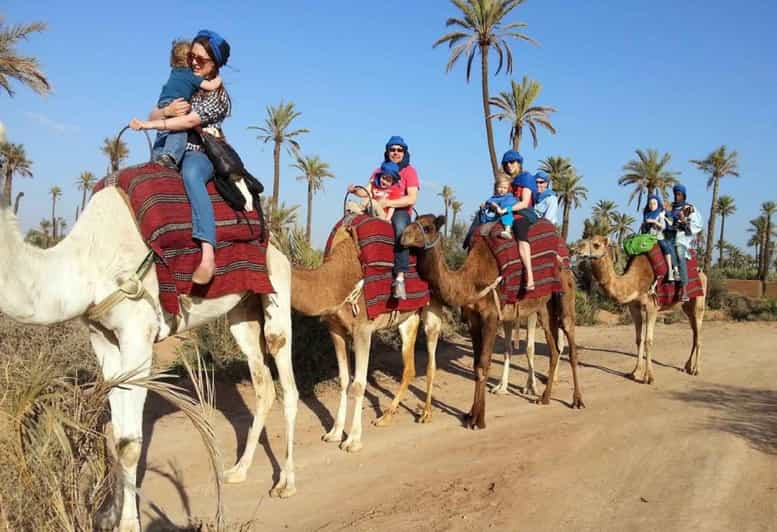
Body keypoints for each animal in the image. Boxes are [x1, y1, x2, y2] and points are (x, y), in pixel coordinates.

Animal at [0, 188, 298, 532]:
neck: (85, 264)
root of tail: (278, 245)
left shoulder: (137, 333)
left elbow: (129, 443)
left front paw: (129, 523)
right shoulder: (102, 337)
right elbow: (116, 433)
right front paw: (107, 514)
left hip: (277, 289)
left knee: (286, 376)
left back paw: (286, 483)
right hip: (241, 311)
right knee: (263, 384)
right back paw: (238, 471)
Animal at [290, 227, 440, 450]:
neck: (333, 280)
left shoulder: (363, 330)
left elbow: (359, 384)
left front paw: (352, 440)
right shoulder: (335, 329)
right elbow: (344, 380)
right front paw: (334, 433)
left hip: (432, 310)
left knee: (431, 360)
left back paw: (426, 414)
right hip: (408, 318)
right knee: (409, 368)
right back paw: (385, 417)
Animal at [400, 216, 584, 428]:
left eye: (428, 227)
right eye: (415, 220)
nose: (403, 236)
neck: (470, 281)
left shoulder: (491, 316)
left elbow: (483, 365)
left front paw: (479, 420)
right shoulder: (473, 319)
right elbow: (476, 366)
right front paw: (470, 415)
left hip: (566, 293)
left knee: (570, 339)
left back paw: (577, 401)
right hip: (544, 307)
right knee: (554, 349)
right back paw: (544, 398)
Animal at [576, 236, 704, 382]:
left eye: (596, 245)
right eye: (585, 239)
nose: (578, 248)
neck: (635, 281)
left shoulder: (652, 307)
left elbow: (648, 341)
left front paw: (649, 377)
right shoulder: (634, 307)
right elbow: (638, 340)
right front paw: (635, 372)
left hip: (699, 302)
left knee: (699, 334)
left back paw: (696, 370)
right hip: (686, 307)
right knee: (694, 333)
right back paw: (687, 367)